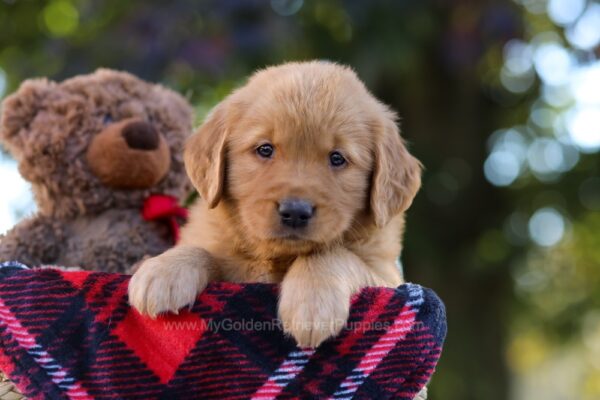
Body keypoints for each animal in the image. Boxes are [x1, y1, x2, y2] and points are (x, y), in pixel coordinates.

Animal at [127, 61, 422, 348]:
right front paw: (163, 270)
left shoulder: (389, 279)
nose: (295, 212)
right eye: (265, 149)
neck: (277, 256)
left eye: (337, 158)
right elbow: (205, 251)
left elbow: (334, 254)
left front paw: (312, 303)